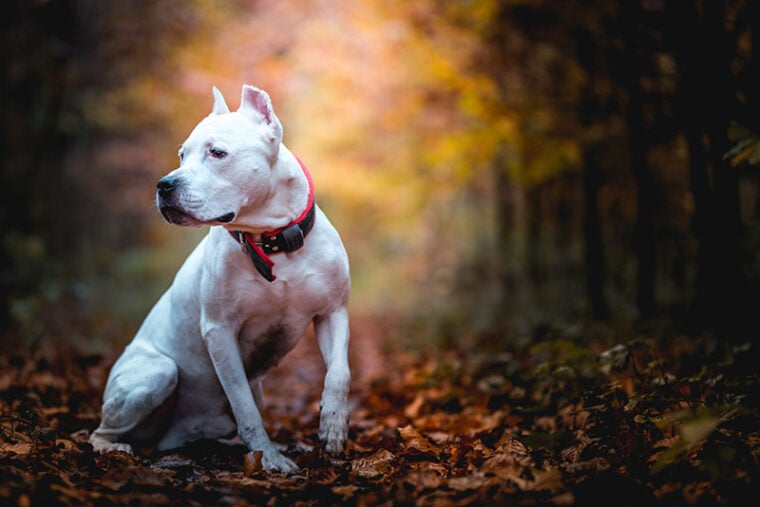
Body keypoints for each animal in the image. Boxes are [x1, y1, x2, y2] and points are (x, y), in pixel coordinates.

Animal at [90, 82, 352, 472]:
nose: (164, 184)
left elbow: (338, 373)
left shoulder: (333, 312)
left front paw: (333, 427)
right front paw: (269, 459)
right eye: (182, 155)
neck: (272, 242)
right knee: (101, 431)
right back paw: (114, 448)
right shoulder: (220, 331)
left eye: (217, 153)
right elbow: (243, 405)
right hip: (157, 372)